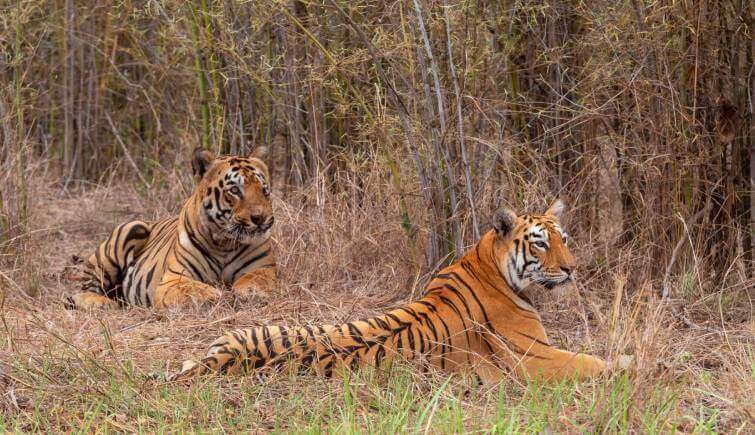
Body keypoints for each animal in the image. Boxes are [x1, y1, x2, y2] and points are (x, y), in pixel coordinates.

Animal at [65, 147, 278, 310]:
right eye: (234, 190)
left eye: (264, 190)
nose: (260, 218)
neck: (224, 243)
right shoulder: (173, 278)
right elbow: (192, 288)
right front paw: (214, 295)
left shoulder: (262, 268)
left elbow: (255, 280)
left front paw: (248, 292)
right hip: (130, 230)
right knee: (81, 290)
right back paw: (101, 303)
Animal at [173, 203, 632, 384]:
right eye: (540, 244)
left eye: (564, 239)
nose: (573, 268)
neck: (488, 260)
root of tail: (223, 359)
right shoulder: (534, 358)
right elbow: (593, 362)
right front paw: (634, 364)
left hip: (235, 334)